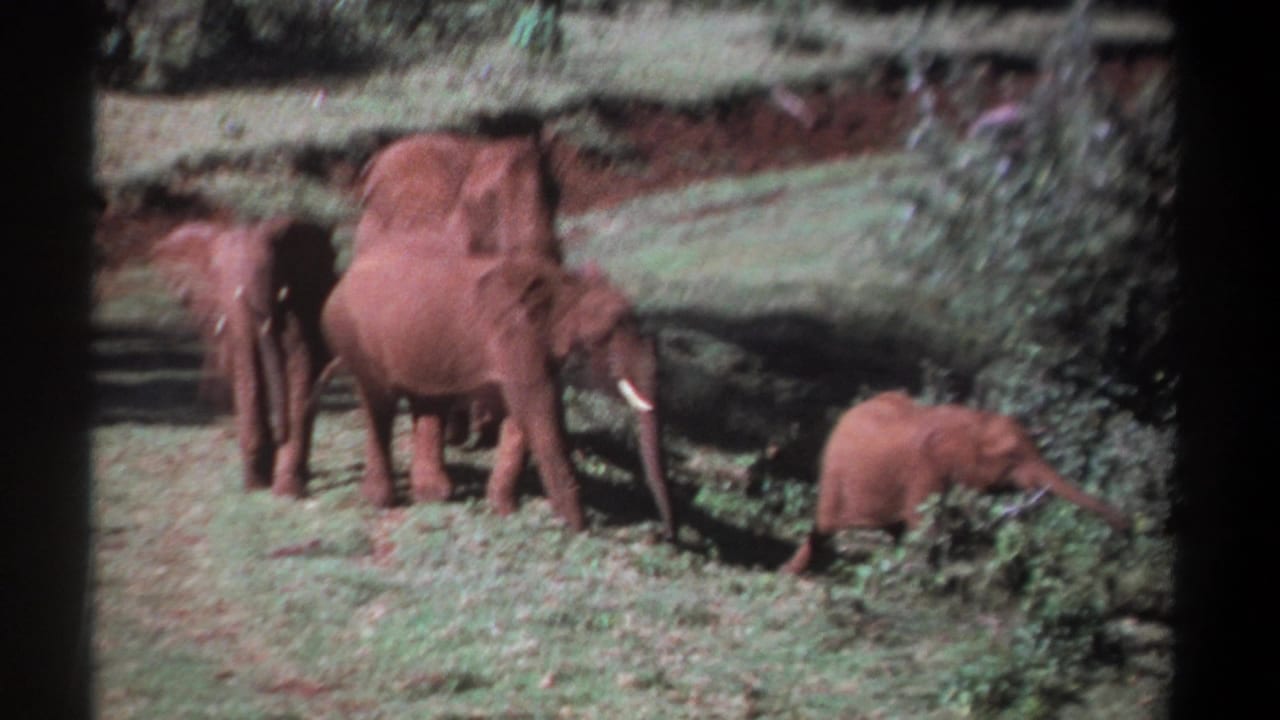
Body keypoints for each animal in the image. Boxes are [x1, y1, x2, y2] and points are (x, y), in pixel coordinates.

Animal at [151, 217, 337, 497]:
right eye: (218, 277)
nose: (280, 434)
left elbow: (299, 363)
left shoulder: (297, 300)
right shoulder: (228, 313)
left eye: (272, 268)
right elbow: (245, 365)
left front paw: (286, 492)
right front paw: (256, 486)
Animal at [320, 250, 676, 539]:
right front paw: (577, 528)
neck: (563, 285)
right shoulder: (514, 336)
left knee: (428, 405)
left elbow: (519, 418)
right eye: (612, 328)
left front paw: (504, 510)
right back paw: (383, 501)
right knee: (379, 405)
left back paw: (434, 495)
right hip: (355, 337)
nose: (665, 535)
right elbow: (538, 413)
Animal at [782, 391, 1130, 574]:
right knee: (824, 527)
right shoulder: (924, 469)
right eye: (1012, 457)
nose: (1128, 526)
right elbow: (925, 525)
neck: (973, 421)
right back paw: (793, 572)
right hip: (834, 475)